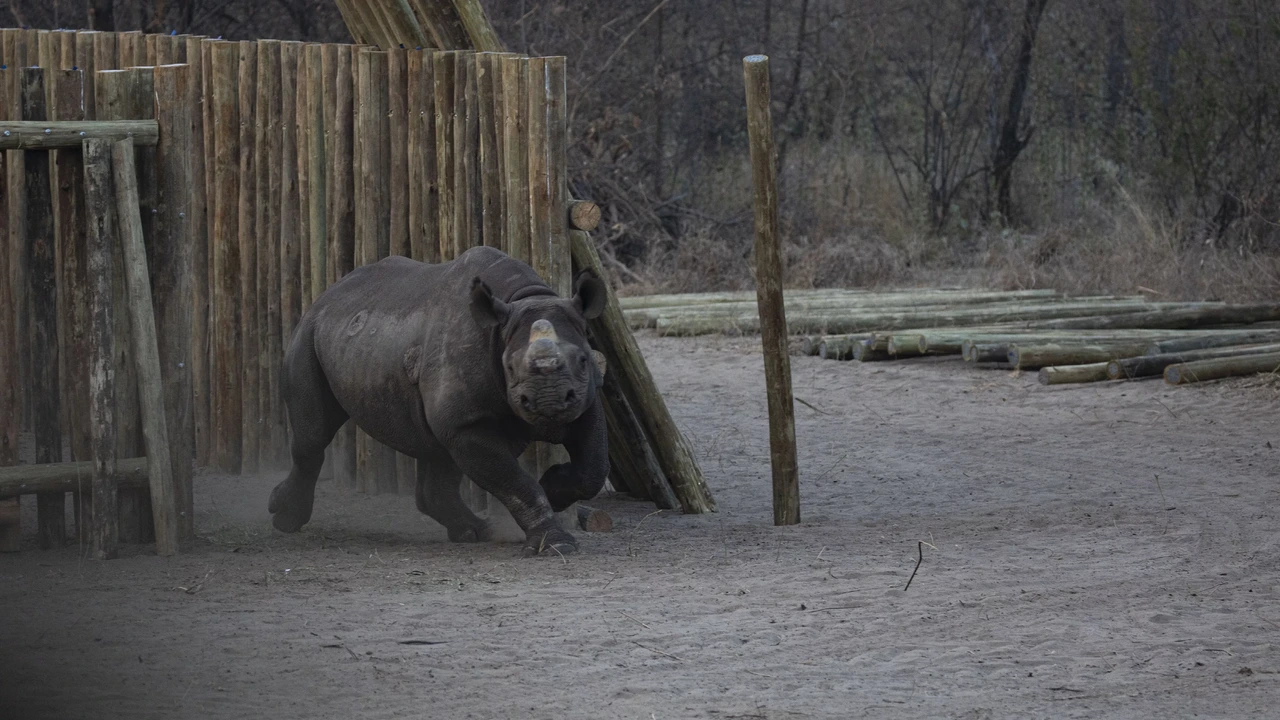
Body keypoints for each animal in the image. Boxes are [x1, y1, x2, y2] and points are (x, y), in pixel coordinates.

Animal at [267, 245, 609, 555]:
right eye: (510, 368)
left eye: (582, 361)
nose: (549, 403)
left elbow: (592, 470)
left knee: (436, 450)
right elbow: (517, 484)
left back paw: (475, 532)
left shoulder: (587, 400)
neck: (522, 299)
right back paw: (283, 518)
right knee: (313, 435)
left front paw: (553, 490)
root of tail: (328, 294)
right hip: (310, 333)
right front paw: (556, 544)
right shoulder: (467, 424)